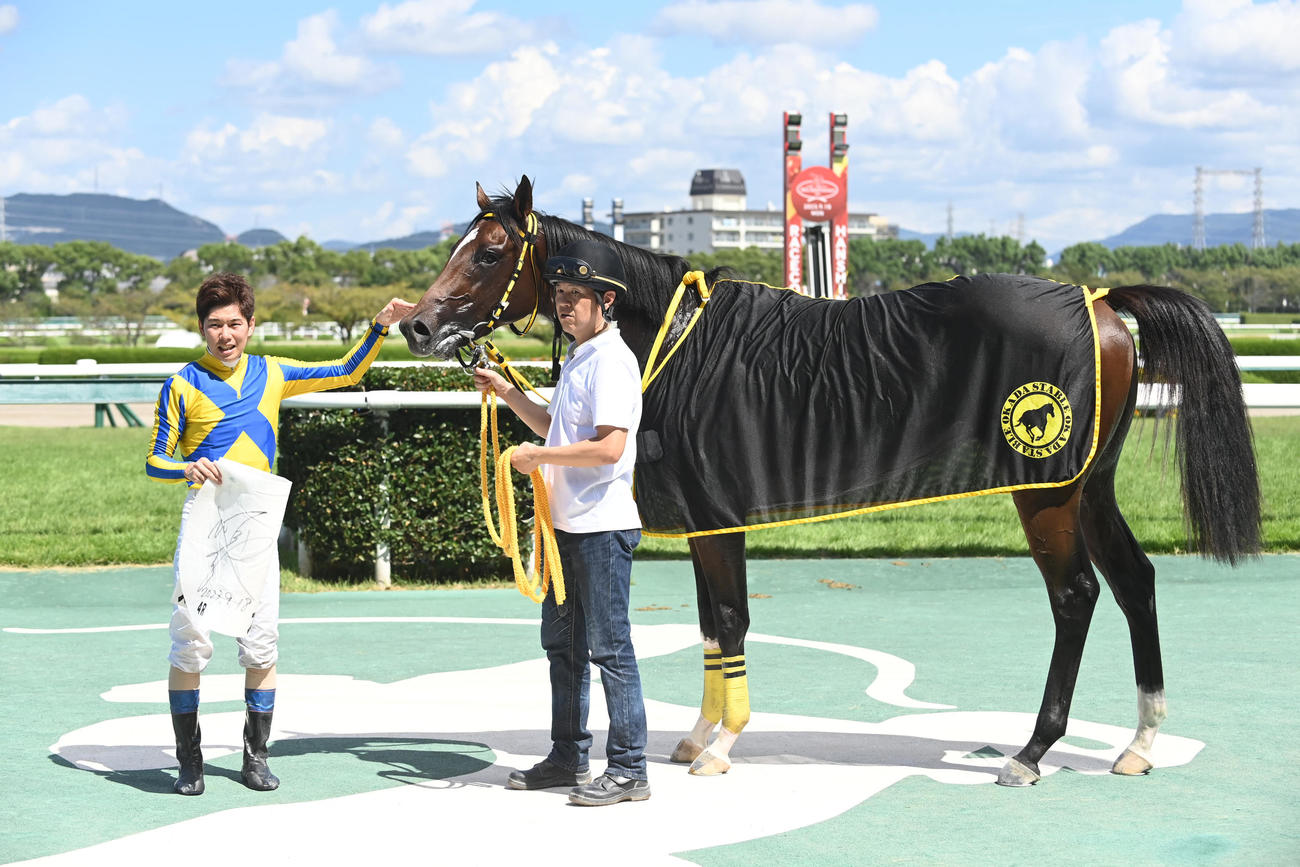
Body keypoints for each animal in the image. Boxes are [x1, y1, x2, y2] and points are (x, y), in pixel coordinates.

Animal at [400, 176, 1260, 787]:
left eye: (489, 251)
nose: (417, 324)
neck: (673, 338)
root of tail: (1103, 299)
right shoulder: (710, 521)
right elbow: (711, 627)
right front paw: (697, 734)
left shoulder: (720, 516)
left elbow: (733, 621)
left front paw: (721, 746)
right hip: (1090, 482)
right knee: (1136, 578)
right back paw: (1139, 740)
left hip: (1045, 490)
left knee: (1076, 594)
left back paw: (1032, 750)